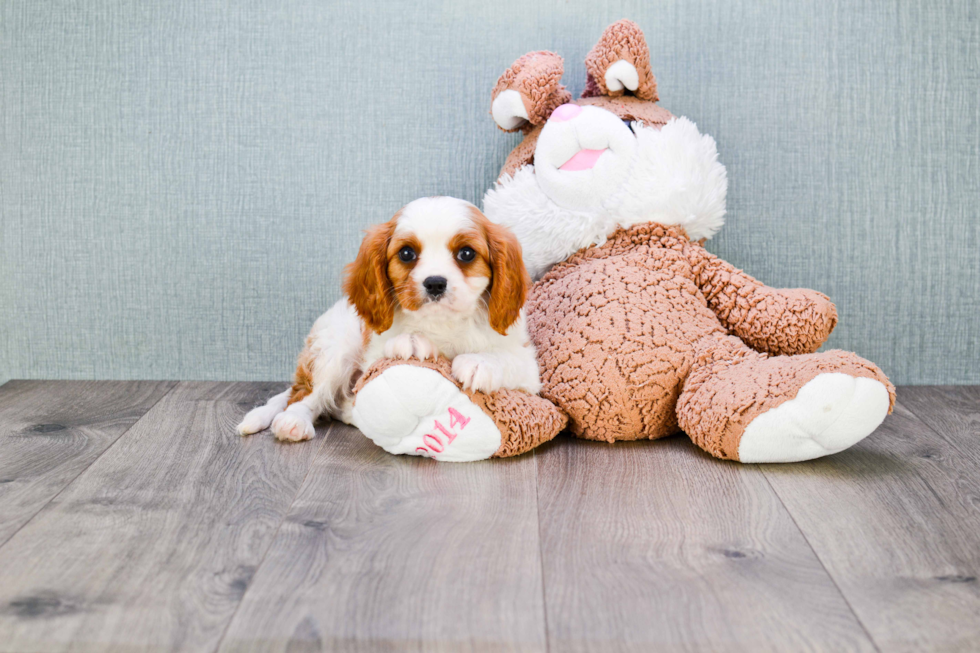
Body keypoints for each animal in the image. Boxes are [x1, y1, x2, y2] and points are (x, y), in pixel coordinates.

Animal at [239, 194, 544, 440]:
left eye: (466, 253)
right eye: (407, 253)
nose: (435, 283)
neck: (442, 324)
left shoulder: (529, 372)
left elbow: (509, 359)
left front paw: (479, 363)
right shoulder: (372, 356)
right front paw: (412, 340)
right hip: (336, 344)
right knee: (305, 394)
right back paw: (293, 420)